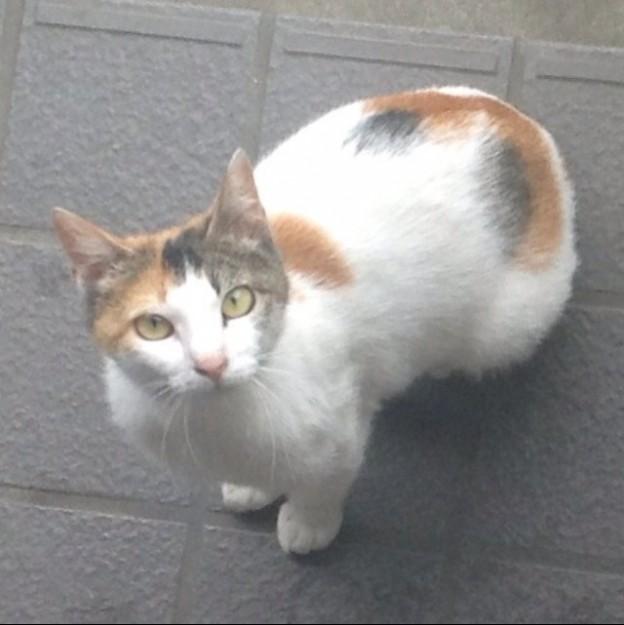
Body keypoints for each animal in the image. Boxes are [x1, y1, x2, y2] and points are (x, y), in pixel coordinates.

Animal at [53, 86, 576, 554]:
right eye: (154, 327)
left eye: (237, 302)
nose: (212, 363)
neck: (219, 417)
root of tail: (524, 129)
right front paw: (252, 487)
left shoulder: (340, 426)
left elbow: (325, 480)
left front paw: (309, 523)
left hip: (509, 323)